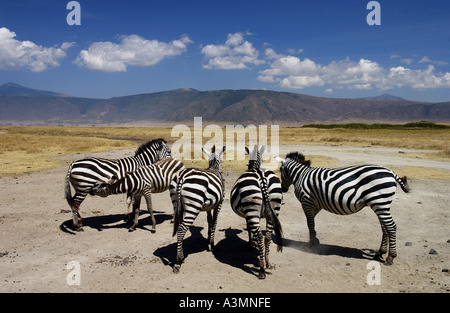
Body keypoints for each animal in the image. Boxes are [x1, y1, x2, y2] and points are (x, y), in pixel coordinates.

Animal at [230, 145, 284, 280]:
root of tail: (261, 176)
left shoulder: (247, 216)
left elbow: (250, 229)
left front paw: (251, 244)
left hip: (251, 209)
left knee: (260, 236)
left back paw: (262, 270)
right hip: (274, 206)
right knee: (268, 235)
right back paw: (268, 262)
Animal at [272, 151, 410, 264]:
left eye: (280, 170)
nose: (283, 189)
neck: (301, 175)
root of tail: (390, 172)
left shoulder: (307, 202)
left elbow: (309, 223)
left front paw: (311, 244)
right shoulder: (316, 205)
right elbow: (312, 222)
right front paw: (315, 239)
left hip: (380, 202)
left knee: (391, 226)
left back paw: (390, 257)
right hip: (381, 204)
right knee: (385, 227)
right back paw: (380, 253)